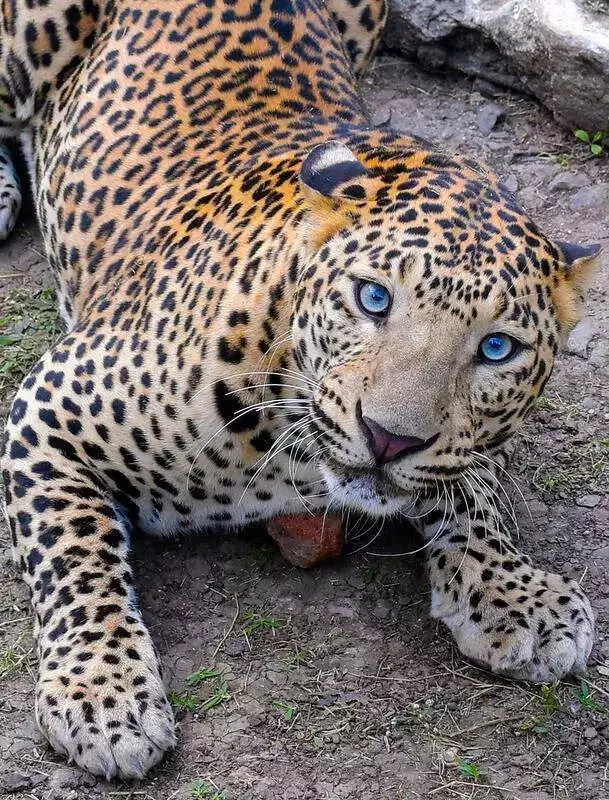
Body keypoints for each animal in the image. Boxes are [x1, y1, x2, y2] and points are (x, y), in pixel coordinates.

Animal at [0, 0, 601, 781]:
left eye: (497, 348)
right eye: (373, 298)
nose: (389, 439)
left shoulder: (468, 445)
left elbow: (477, 495)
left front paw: (516, 594)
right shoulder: (51, 407)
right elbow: (76, 553)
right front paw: (104, 694)